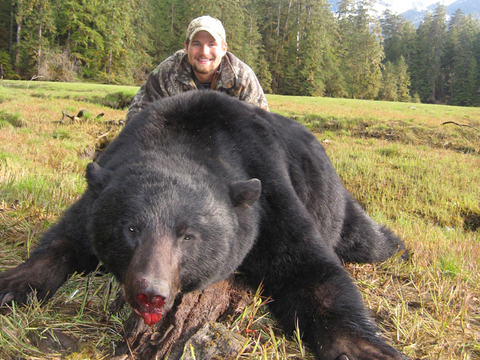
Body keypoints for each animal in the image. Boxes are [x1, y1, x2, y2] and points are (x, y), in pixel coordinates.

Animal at [0, 91, 408, 358]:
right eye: (131, 229)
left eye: (187, 236)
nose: (151, 292)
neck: (189, 138)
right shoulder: (99, 188)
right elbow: (63, 240)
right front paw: (14, 283)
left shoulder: (269, 189)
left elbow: (311, 271)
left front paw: (367, 348)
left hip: (332, 198)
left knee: (364, 238)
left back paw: (400, 248)